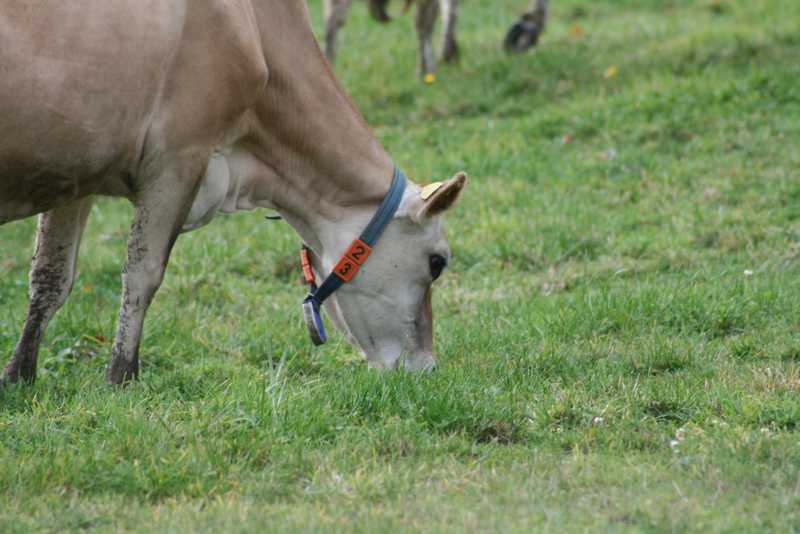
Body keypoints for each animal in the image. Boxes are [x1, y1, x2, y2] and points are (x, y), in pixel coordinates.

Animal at [0, 0, 466, 386]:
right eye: (437, 263)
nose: (426, 367)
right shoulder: (179, 156)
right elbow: (143, 273)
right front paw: (121, 376)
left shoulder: (78, 167)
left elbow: (50, 277)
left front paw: (19, 376)